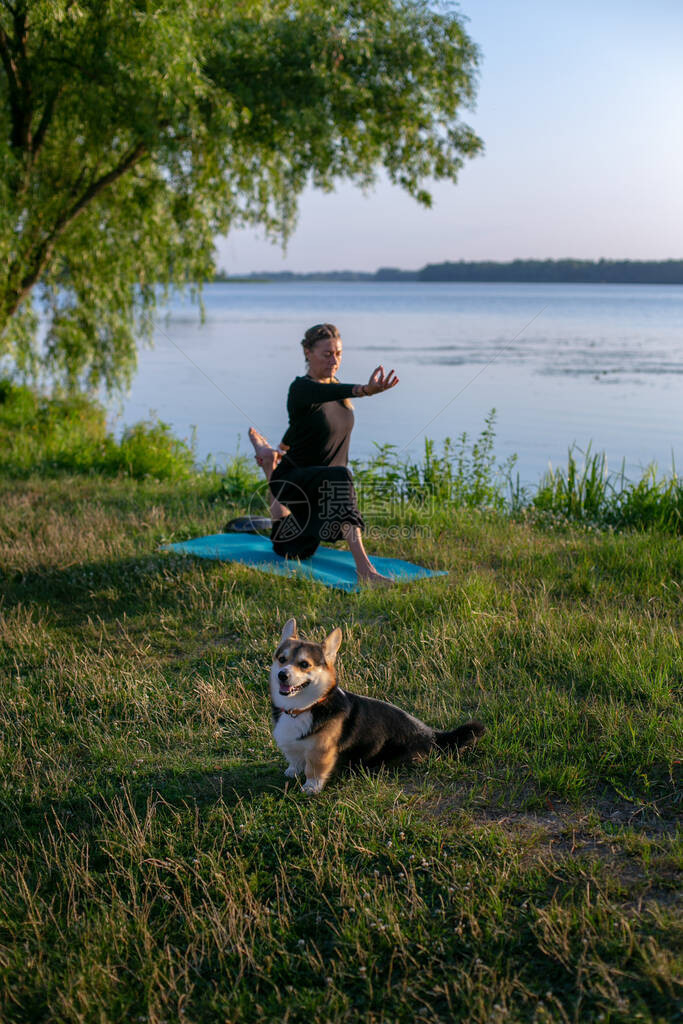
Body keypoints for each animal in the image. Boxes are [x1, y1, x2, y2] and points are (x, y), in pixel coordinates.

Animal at [270, 618, 483, 794]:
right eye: (282, 659)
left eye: (304, 664)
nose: (282, 675)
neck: (303, 708)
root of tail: (433, 735)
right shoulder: (292, 746)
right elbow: (295, 761)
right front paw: (291, 772)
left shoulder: (320, 751)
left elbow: (313, 769)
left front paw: (310, 788)